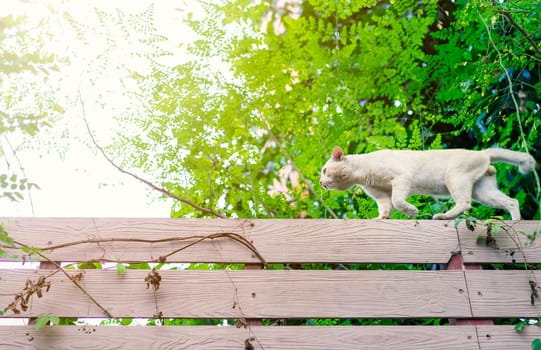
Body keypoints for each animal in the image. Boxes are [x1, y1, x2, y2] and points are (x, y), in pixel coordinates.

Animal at [320, 146, 536, 219]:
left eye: (324, 170)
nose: (321, 182)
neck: (362, 173)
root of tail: (482, 153)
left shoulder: (401, 178)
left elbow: (398, 201)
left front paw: (412, 211)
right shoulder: (381, 195)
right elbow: (385, 208)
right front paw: (380, 219)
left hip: (455, 178)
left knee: (464, 203)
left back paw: (442, 216)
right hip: (483, 192)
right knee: (512, 202)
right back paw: (516, 222)